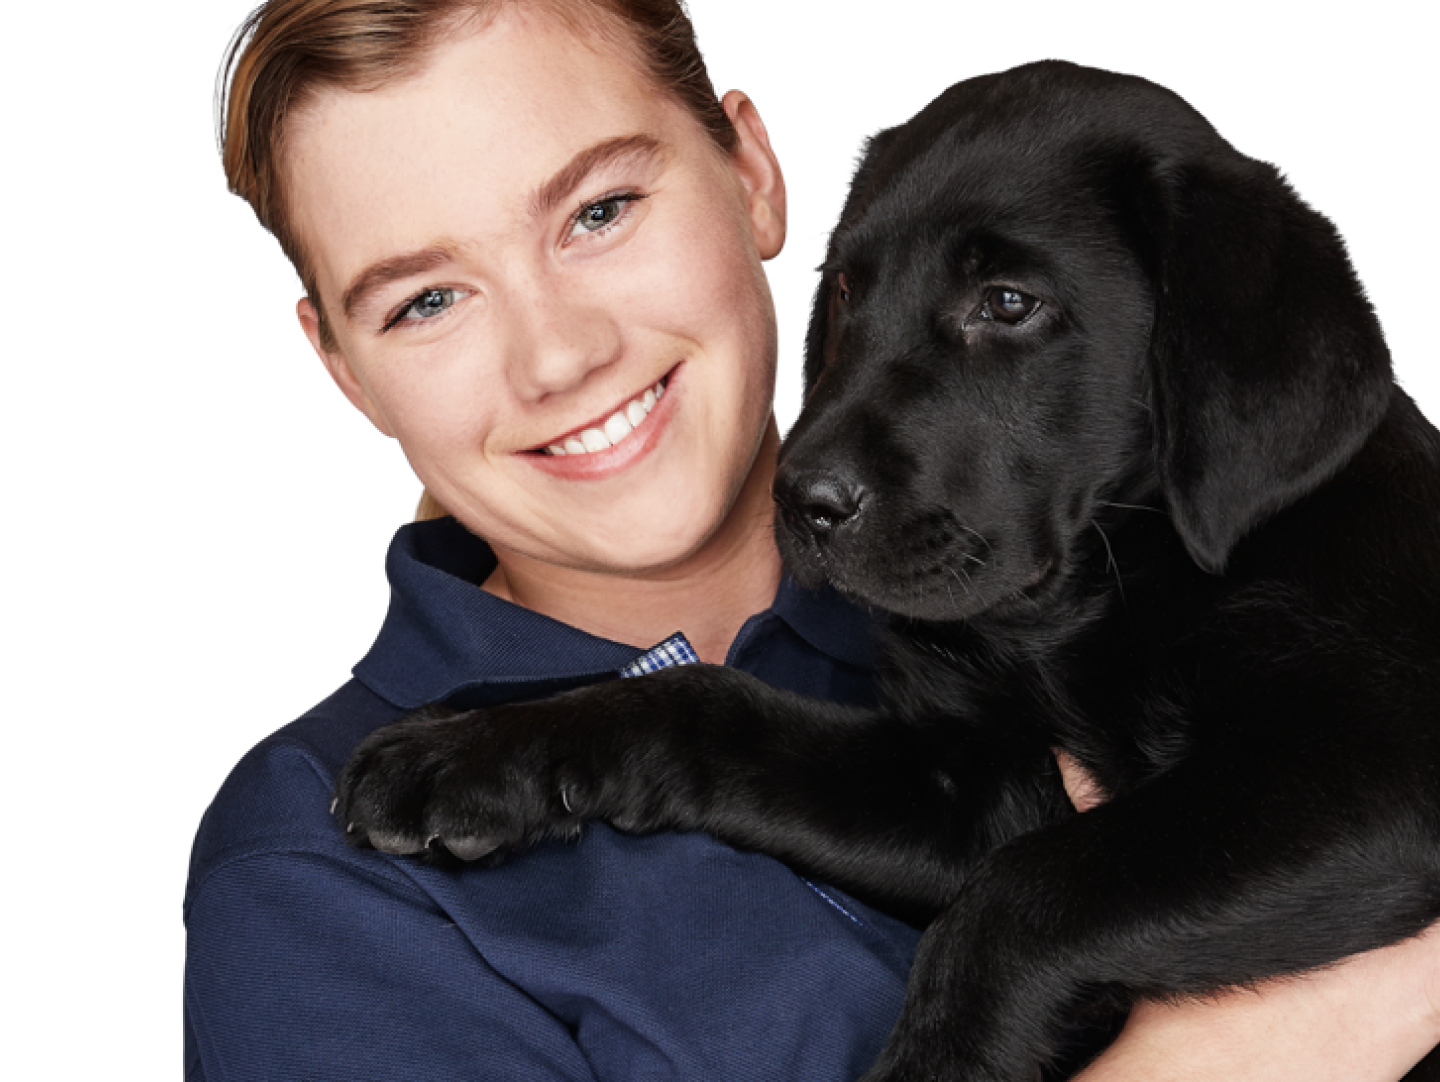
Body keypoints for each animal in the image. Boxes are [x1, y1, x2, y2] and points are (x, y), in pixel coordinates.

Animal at [331, 61, 1440, 1082]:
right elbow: (708, 704)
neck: (1078, 611)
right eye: (851, 288)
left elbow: (1021, 898)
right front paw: (472, 752)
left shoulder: (1376, 773)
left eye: (1008, 302)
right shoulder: (966, 790)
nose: (800, 500)